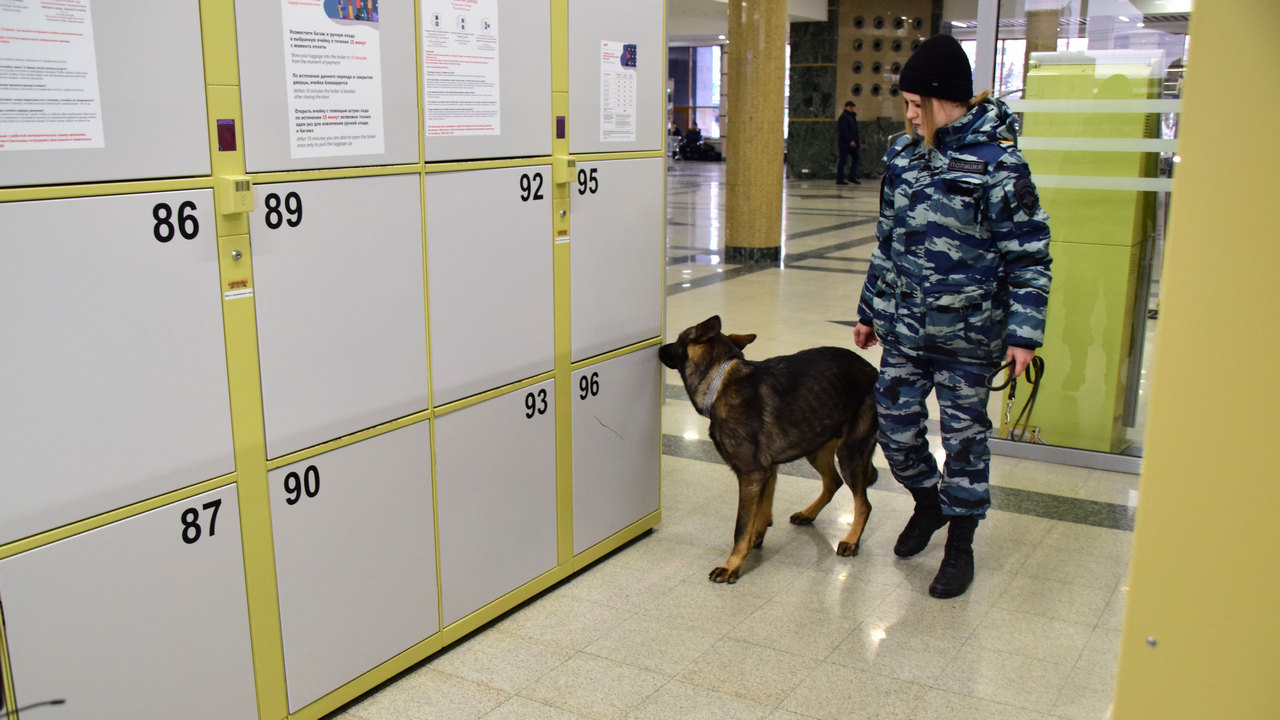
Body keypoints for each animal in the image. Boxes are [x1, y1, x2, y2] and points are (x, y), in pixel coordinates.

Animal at [660, 315, 880, 584]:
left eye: (678, 339)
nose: (660, 348)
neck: (719, 380)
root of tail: (872, 370)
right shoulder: (768, 472)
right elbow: (761, 513)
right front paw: (756, 538)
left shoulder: (752, 475)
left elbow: (741, 526)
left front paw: (732, 564)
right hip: (816, 446)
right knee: (833, 481)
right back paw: (809, 513)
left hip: (850, 454)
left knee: (863, 504)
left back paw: (851, 540)